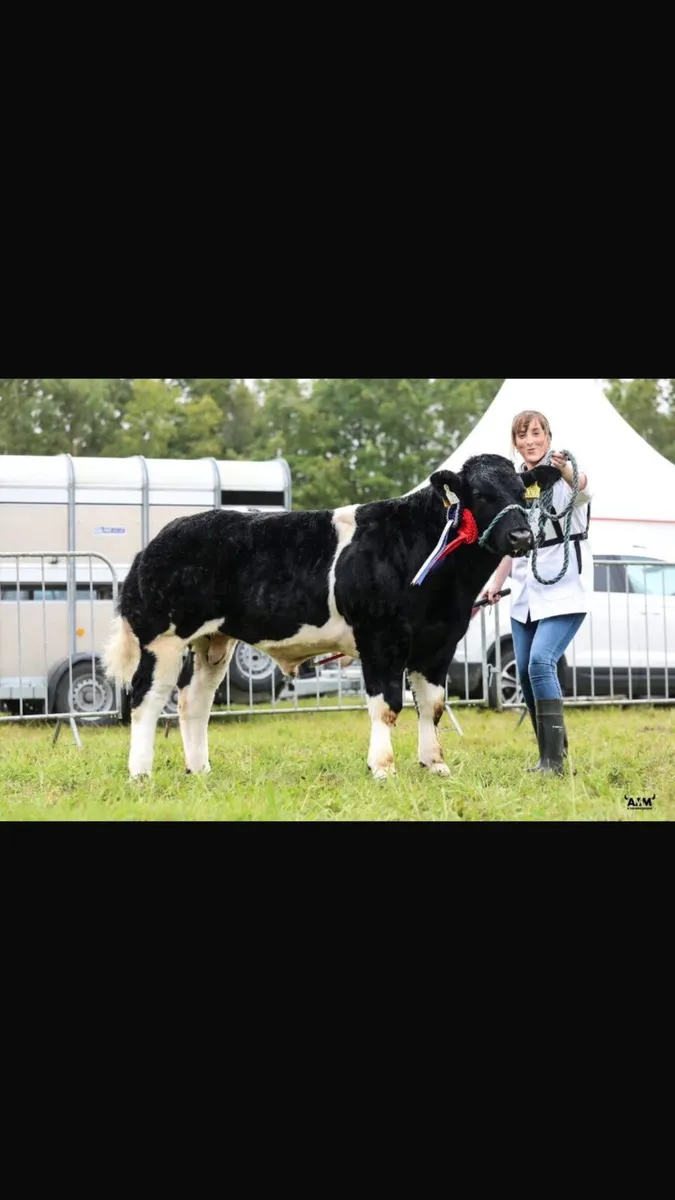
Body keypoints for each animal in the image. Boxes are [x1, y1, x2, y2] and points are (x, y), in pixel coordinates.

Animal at [103, 454, 560, 781]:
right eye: (480, 494)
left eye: (522, 492)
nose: (521, 537)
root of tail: (157, 542)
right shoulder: (381, 638)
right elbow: (388, 705)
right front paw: (383, 767)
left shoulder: (440, 642)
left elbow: (431, 705)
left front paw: (435, 764)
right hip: (162, 638)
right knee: (145, 698)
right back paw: (140, 773)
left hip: (213, 640)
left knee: (193, 700)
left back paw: (199, 770)